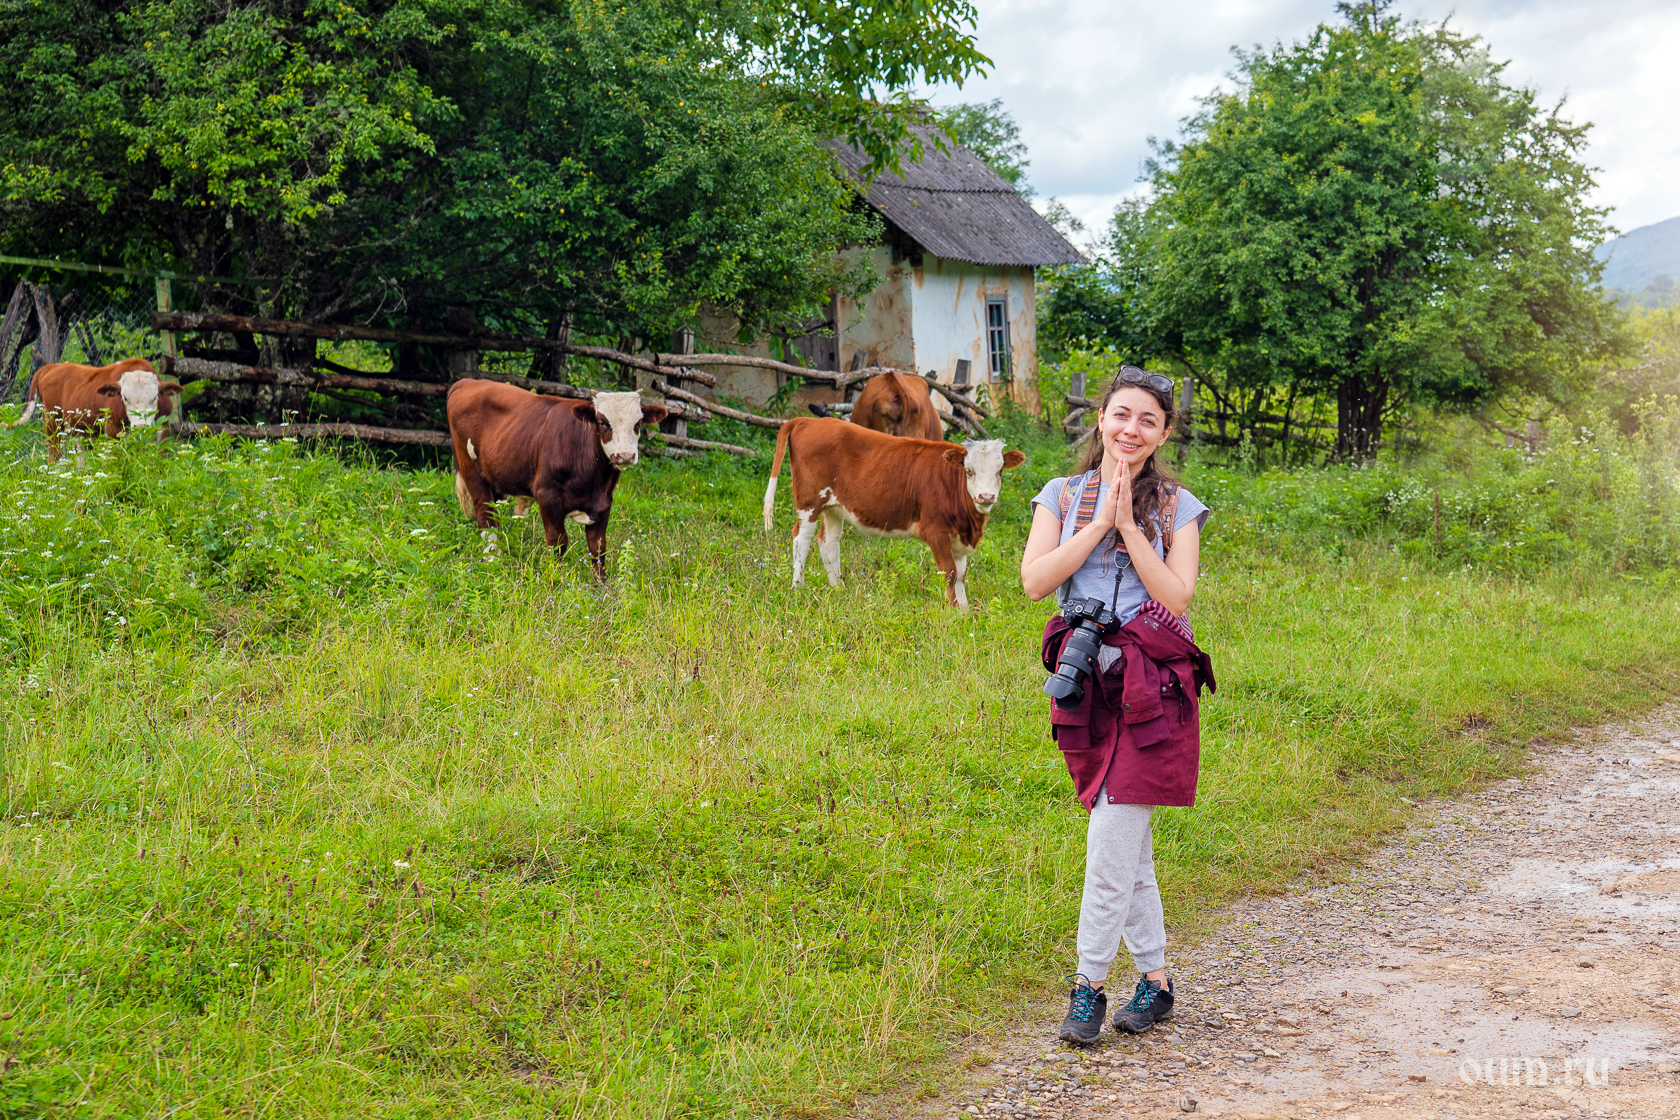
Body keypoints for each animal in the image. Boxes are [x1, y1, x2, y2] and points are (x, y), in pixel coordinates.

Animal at [9, 358, 181, 461]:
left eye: (154, 398)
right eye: (125, 398)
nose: (140, 426)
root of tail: (51, 366)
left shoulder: (162, 429)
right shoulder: (113, 430)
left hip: (81, 432)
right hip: (53, 424)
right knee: (55, 458)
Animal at [446, 379, 667, 578]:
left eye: (638, 423)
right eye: (602, 423)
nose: (625, 456)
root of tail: (467, 382)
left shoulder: (604, 502)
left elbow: (598, 548)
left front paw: (602, 588)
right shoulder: (548, 496)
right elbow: (557, 542)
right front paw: (554, 580)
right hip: (472, 471)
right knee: (486, 516)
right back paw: (494, 561)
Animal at [761, 416, 1025, 608]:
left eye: (1000, 471)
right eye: (969, 471)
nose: (986, 497)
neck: (969, 524)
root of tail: (808, 420)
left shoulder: (959, 536)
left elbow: (960, 574)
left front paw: (964, 610)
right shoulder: (936, 531)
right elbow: (949, 572)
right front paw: (953, 611)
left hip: (833, 507)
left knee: (828, 543)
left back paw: (839, 589)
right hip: (810, 502)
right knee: (801, 539)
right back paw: (798, 588)